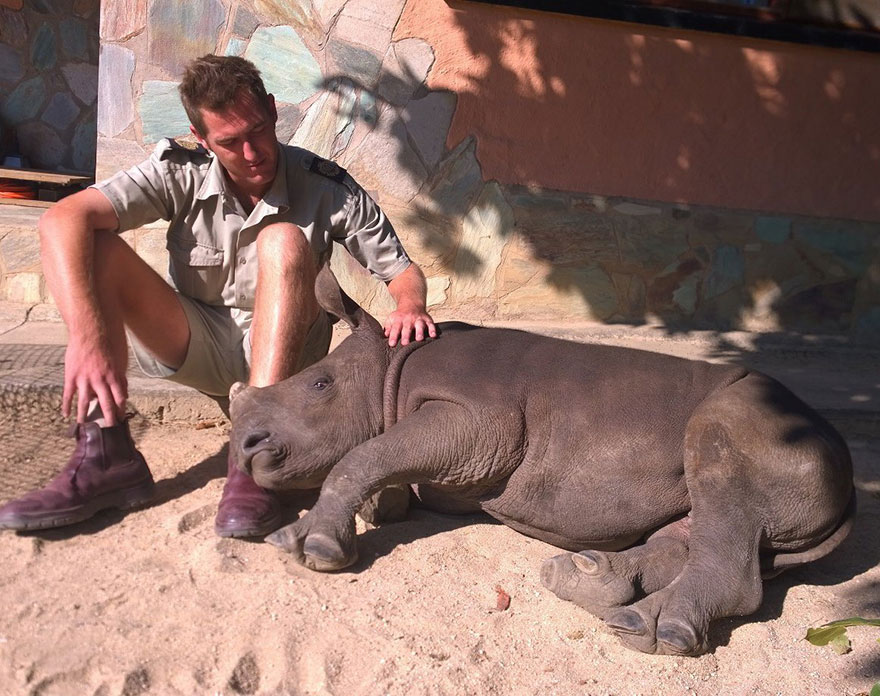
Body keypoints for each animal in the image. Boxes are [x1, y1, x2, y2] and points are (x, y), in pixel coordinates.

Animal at [228, 266, 854, 656]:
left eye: (319, 384)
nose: (247, 445)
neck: (389, 368)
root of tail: (847, 470)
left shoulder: (481, 419)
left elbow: (365, 453)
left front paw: (311, 547)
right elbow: (380, 462)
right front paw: (366, 513)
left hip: (764, 421)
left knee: (720, 464)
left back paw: (650, 632)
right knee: (701, 524)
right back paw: (585, 582)